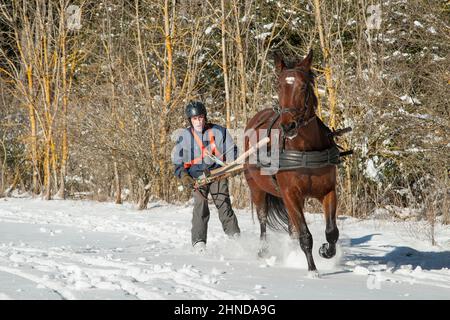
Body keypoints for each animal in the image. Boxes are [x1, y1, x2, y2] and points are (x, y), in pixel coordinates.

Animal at [246, 50, 338, 278]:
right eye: (279, 86)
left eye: (303, 86)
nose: (288, 126)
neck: (305, 149)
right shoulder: (290, 194)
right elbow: (305, 235)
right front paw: (312, 270)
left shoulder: (328, 191)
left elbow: (331, 231)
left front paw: (326, 251)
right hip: (257, 189)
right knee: (263, 221)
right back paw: (263, 251)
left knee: (290, 226)